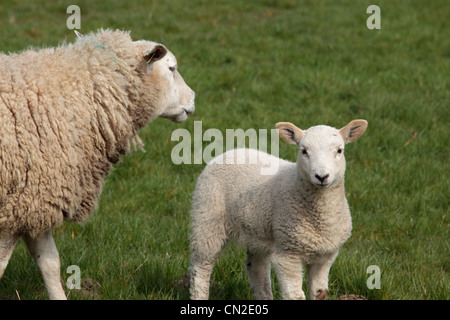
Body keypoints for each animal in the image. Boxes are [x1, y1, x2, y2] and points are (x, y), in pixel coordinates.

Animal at [188, 119, 368, 298]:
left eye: (339, 150)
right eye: (304, 151)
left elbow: (319, 293)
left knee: (257, 269)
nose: (322, 177)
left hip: (256, 231)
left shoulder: (325, 256)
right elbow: (295, 295)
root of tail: (229, 152)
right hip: (208, 218)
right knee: (201, 267)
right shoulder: (287, 253)